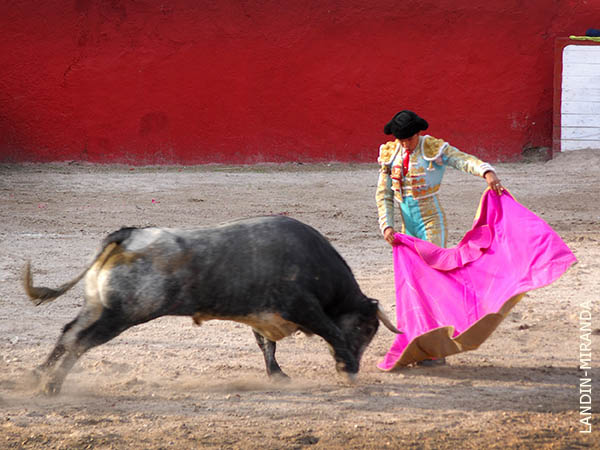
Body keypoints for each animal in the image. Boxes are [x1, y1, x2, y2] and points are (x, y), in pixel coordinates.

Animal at [22, 216, 404, 396]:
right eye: (366, 327)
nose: (357, 361)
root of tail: (128, 235)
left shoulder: (262, 315)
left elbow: (267, 345)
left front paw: (277, 375)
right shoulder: (302, 307)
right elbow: (330, 332)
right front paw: (345, 368)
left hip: (96, 307)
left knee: (68, 333)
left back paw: (38, 374)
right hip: (120, 315)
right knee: (79, 341)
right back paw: (50, 386)